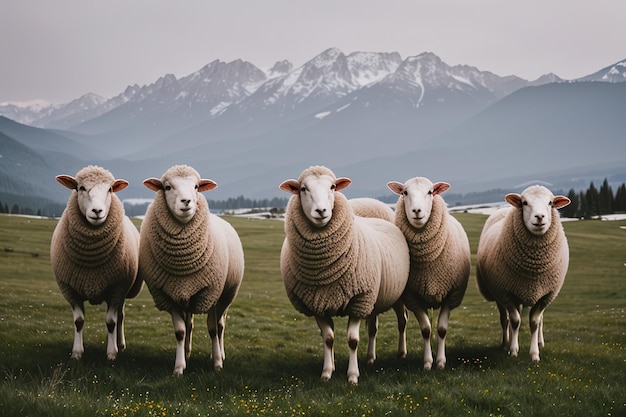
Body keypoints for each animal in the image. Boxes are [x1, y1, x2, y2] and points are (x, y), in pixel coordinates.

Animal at [50, 164, 143, 360]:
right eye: (80, 188)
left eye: (110, 189)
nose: (97, 211)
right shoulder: (70, 290)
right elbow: (78, 321)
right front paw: (77, 353)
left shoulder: (117, 288)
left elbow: (111, 322)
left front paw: (112, 353)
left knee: (120, 317)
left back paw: (120, 344)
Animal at [138, 164, 244, 376]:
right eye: (167, 187)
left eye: (196, 187)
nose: (186, 201)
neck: (182, 265)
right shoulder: (168, 295)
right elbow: (180, 331)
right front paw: (179, 367)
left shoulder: (211, 292)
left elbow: (212, 330)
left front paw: (217, 364)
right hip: (187, 298)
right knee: (189, 324)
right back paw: (187, 352)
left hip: (226, 295)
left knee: (220, 325)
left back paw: (220, 353)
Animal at [280, 166, 410, 384]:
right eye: (303, 189)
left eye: (333, 187)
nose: (321, 211)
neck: (324, 270)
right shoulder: (317, 303)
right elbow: (328, 338)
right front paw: (327, 371)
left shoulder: (358, 299)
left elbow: (352, 340)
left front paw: (352, 375)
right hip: (372, 298)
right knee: (372, 327)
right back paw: (370, 358)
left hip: (395, 294)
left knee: (402, 320)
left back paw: (401, 353)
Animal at [386, 176, 468, 368]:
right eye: (405, 192)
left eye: (430, 192)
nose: (417, 211)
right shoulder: (412, 297)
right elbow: (425, 330)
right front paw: (428, 362)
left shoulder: (451, 295)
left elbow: (442, 329)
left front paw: (441, 362)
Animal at [476, 184, 568, 360]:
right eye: (525, 203)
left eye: (550, 203)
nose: (540, 217)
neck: (534, 268)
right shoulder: (504, 292)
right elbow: (515, 321)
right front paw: (513, 350)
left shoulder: (546, 295)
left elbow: (534, 322)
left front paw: (534, 354)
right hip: (502, 295)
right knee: (505, 319)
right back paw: (505, 343)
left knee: (540, 320)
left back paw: (540, 342)